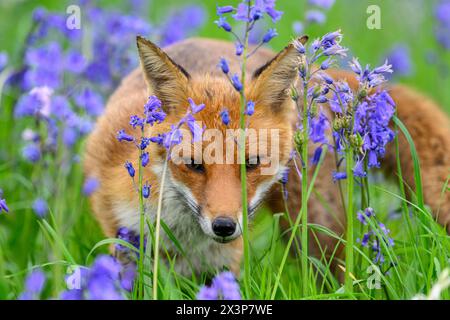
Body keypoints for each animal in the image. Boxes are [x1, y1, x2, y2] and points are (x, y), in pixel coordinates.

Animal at [82, 36, 448, 278]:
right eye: (194, 165)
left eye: (252, 164)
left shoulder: (225, 264)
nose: (224, 226)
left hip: (313, 232)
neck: (184, 237)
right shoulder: (124, 240)